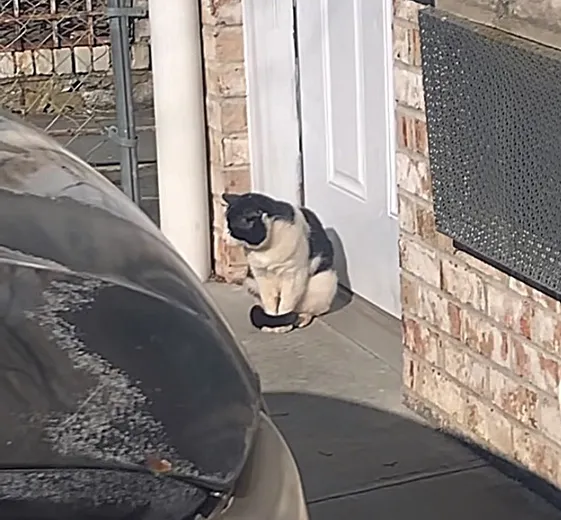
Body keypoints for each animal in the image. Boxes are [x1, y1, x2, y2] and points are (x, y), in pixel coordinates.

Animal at [222, 191, 336, 334]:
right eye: (225, 227)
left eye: (231, 230)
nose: (223, 238)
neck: (266, 250)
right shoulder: (261, 276)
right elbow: (270, 303)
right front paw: (271, 324)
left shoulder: (293, 276)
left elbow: (286, 303)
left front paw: (282, 326)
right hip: (251, 283)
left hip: (323, 284)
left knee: (311, 310)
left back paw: (302, 318)